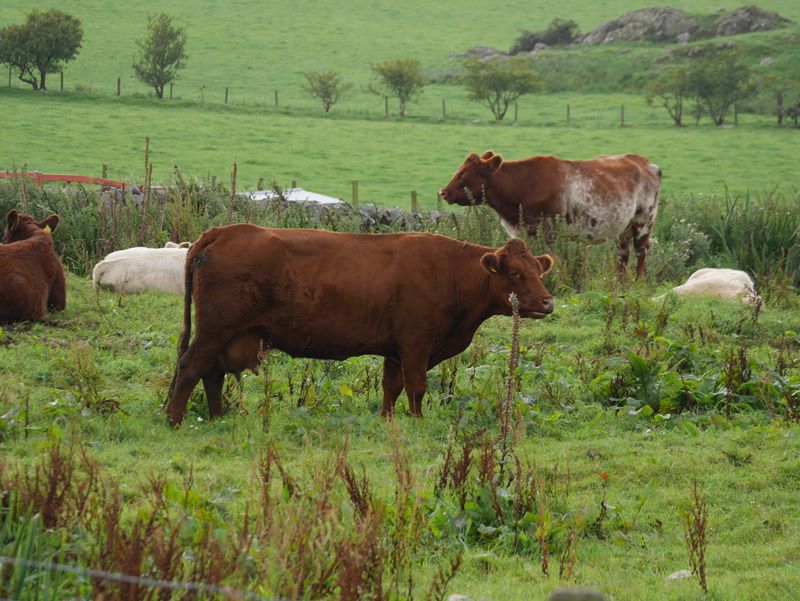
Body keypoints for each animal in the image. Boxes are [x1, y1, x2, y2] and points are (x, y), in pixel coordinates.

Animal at [167, 226, 556, 426]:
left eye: (539, 270)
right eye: (516, 273)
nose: (547, 302)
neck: (451, 272)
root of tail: (224, 231)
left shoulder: (396, 350)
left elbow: (391, 387)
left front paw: (388, 420)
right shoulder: (416, 344)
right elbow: (416, 387)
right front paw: (417, 421)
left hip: (225, 334)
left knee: (212, 373)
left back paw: (218, 418)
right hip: (215, 329)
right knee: (191, 367)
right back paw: (175, 418)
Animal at [438, 152, 664, 276]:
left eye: (463, 175)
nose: (443, 192)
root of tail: (644, 162)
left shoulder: (548, 230)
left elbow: (552, 260)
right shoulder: (525, 231)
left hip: (644, 220)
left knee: (641, 251)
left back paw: (638, 282)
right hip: (624, 226)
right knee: (623, 254)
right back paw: (620, 283)